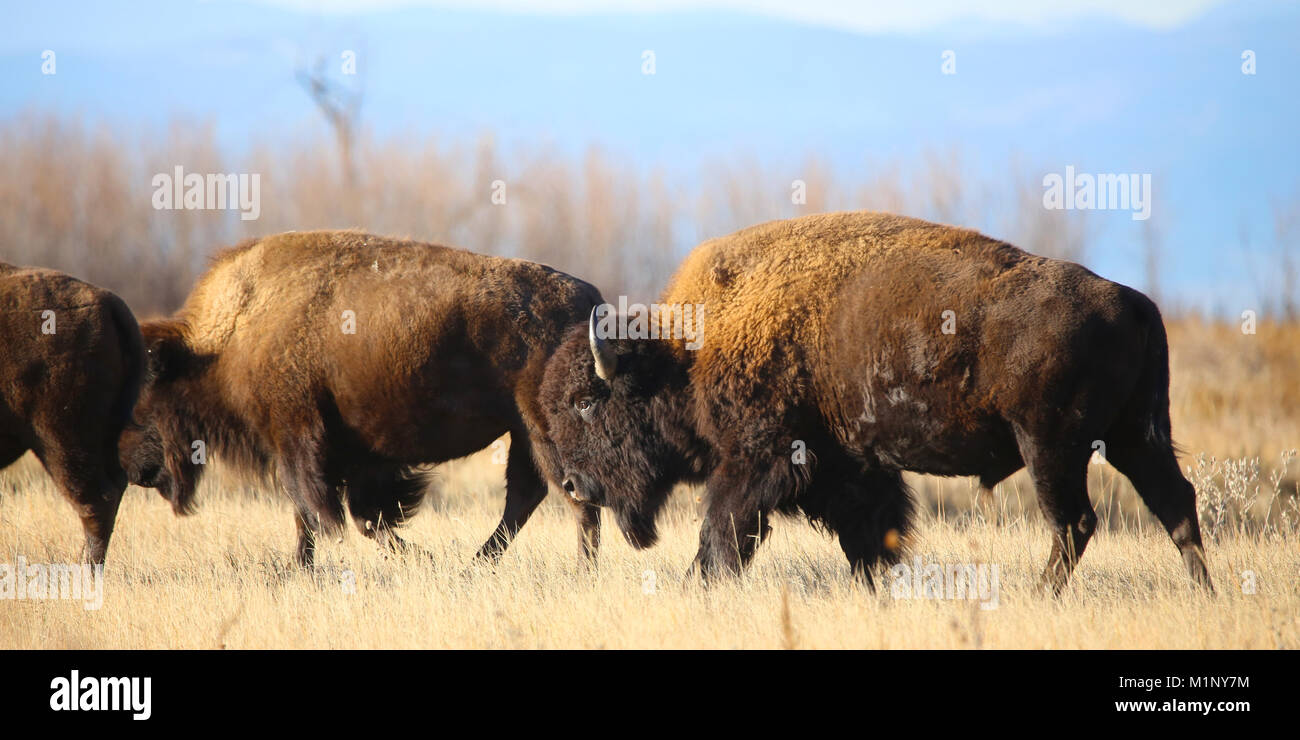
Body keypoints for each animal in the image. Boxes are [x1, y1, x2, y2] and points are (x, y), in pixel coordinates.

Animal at [118, 231, 603, 566]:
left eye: (144, 402)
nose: (134, 470)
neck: (230, 334)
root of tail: (589, 299)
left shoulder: (298, 439)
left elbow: (319, 511)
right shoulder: (354, 455)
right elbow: (352, 516)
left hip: (543, 428)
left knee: (569, 495)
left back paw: (577, 570)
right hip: (523, 431)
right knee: (529, 495)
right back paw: (479, 564)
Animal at [540, 211, 1213, 593]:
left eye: (587, 402)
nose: (572, 484)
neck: (685, 353)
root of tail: (1133, 301)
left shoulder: (757, 461)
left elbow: (722, 533)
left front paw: (698, 586)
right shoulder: (851, 469)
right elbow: (870, 538)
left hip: (1053, 446)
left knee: (1075, 522)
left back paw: (1039, 596)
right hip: (1134, 436)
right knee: (1175, 504)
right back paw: (1204, 593)